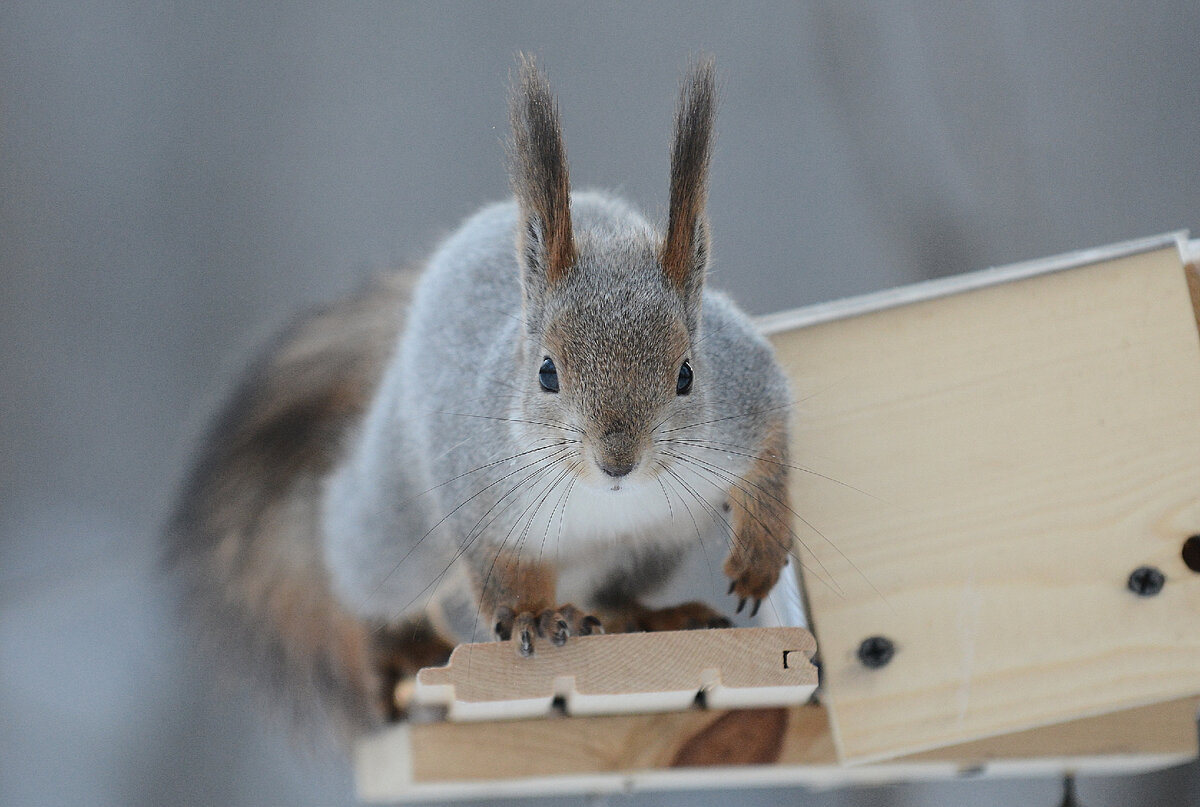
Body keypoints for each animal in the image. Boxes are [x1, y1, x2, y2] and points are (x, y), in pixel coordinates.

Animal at [164, 55, 792, 739]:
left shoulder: (748, 392)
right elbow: (502, 567)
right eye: (547, 373)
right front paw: (534, 618)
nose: (618, 462)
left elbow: (773, 452)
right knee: (367, 584)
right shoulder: (482, 486)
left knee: (612, 594)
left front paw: (761, 551)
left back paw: (654, 615)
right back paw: (401, 644)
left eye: (686, 375)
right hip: (394, 525)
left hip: (653, 543)